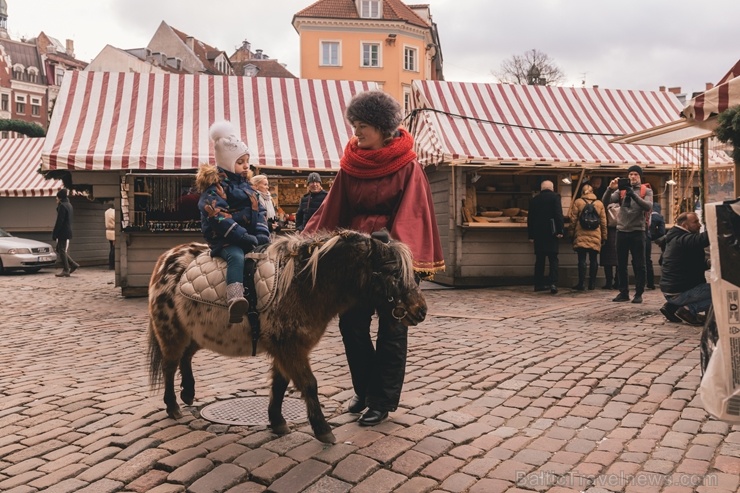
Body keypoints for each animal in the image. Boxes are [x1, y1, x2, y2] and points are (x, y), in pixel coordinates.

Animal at [147, 230, 424, 442]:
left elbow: (279, 385)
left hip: (194, 334)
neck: (304, 285)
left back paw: (188, 393)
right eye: (393, 273)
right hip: (172, 333)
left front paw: (277, 422)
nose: (420, 311)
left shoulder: (286, 350)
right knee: (170, 365)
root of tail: (166, 258)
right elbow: (309, 384)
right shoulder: (290, 348)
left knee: (185, 358)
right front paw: (323, 430)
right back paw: (173, 406)